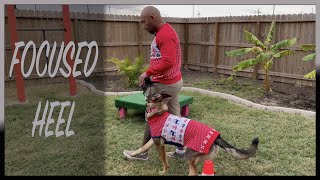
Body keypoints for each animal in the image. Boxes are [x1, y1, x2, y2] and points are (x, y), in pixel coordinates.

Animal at [129, 77, 258, 176]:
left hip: (190, 157)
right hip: (202, 159)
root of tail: (217, 136)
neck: (157, 109)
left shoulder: (159, 145)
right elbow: (142, 148)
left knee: (193, 173)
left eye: (151, 84)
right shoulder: (153, 140)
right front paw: (133, 154)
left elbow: (164, 162)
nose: (146, 77)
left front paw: (164, 172)